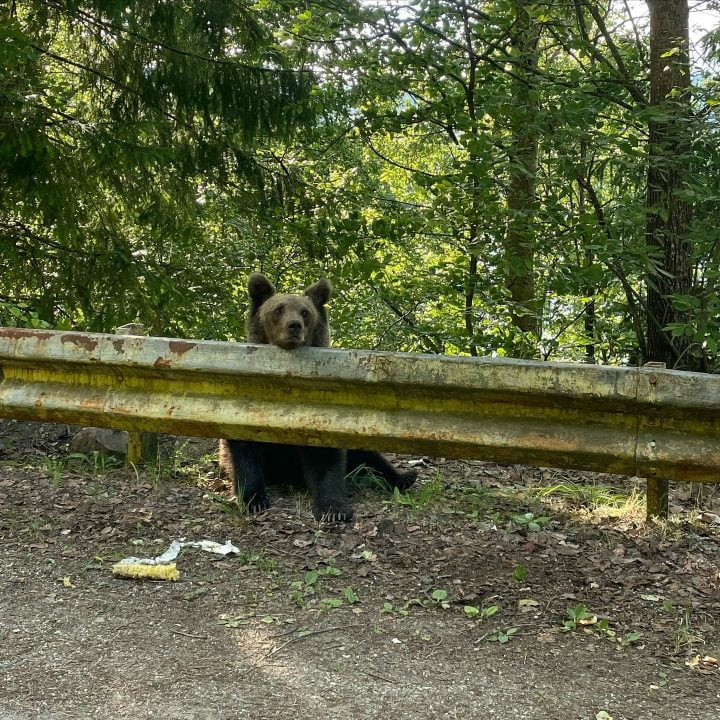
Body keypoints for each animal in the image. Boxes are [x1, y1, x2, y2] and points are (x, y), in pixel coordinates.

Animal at [221, 272, 416, 520]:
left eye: (305, 312)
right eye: (278, 309)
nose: (294, 326)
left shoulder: (322, 412)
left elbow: (326, 459)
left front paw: (334, 508)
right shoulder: (247, 406)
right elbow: (246, 452)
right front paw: (254, 500)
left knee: (369, 457)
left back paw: (405, 477)